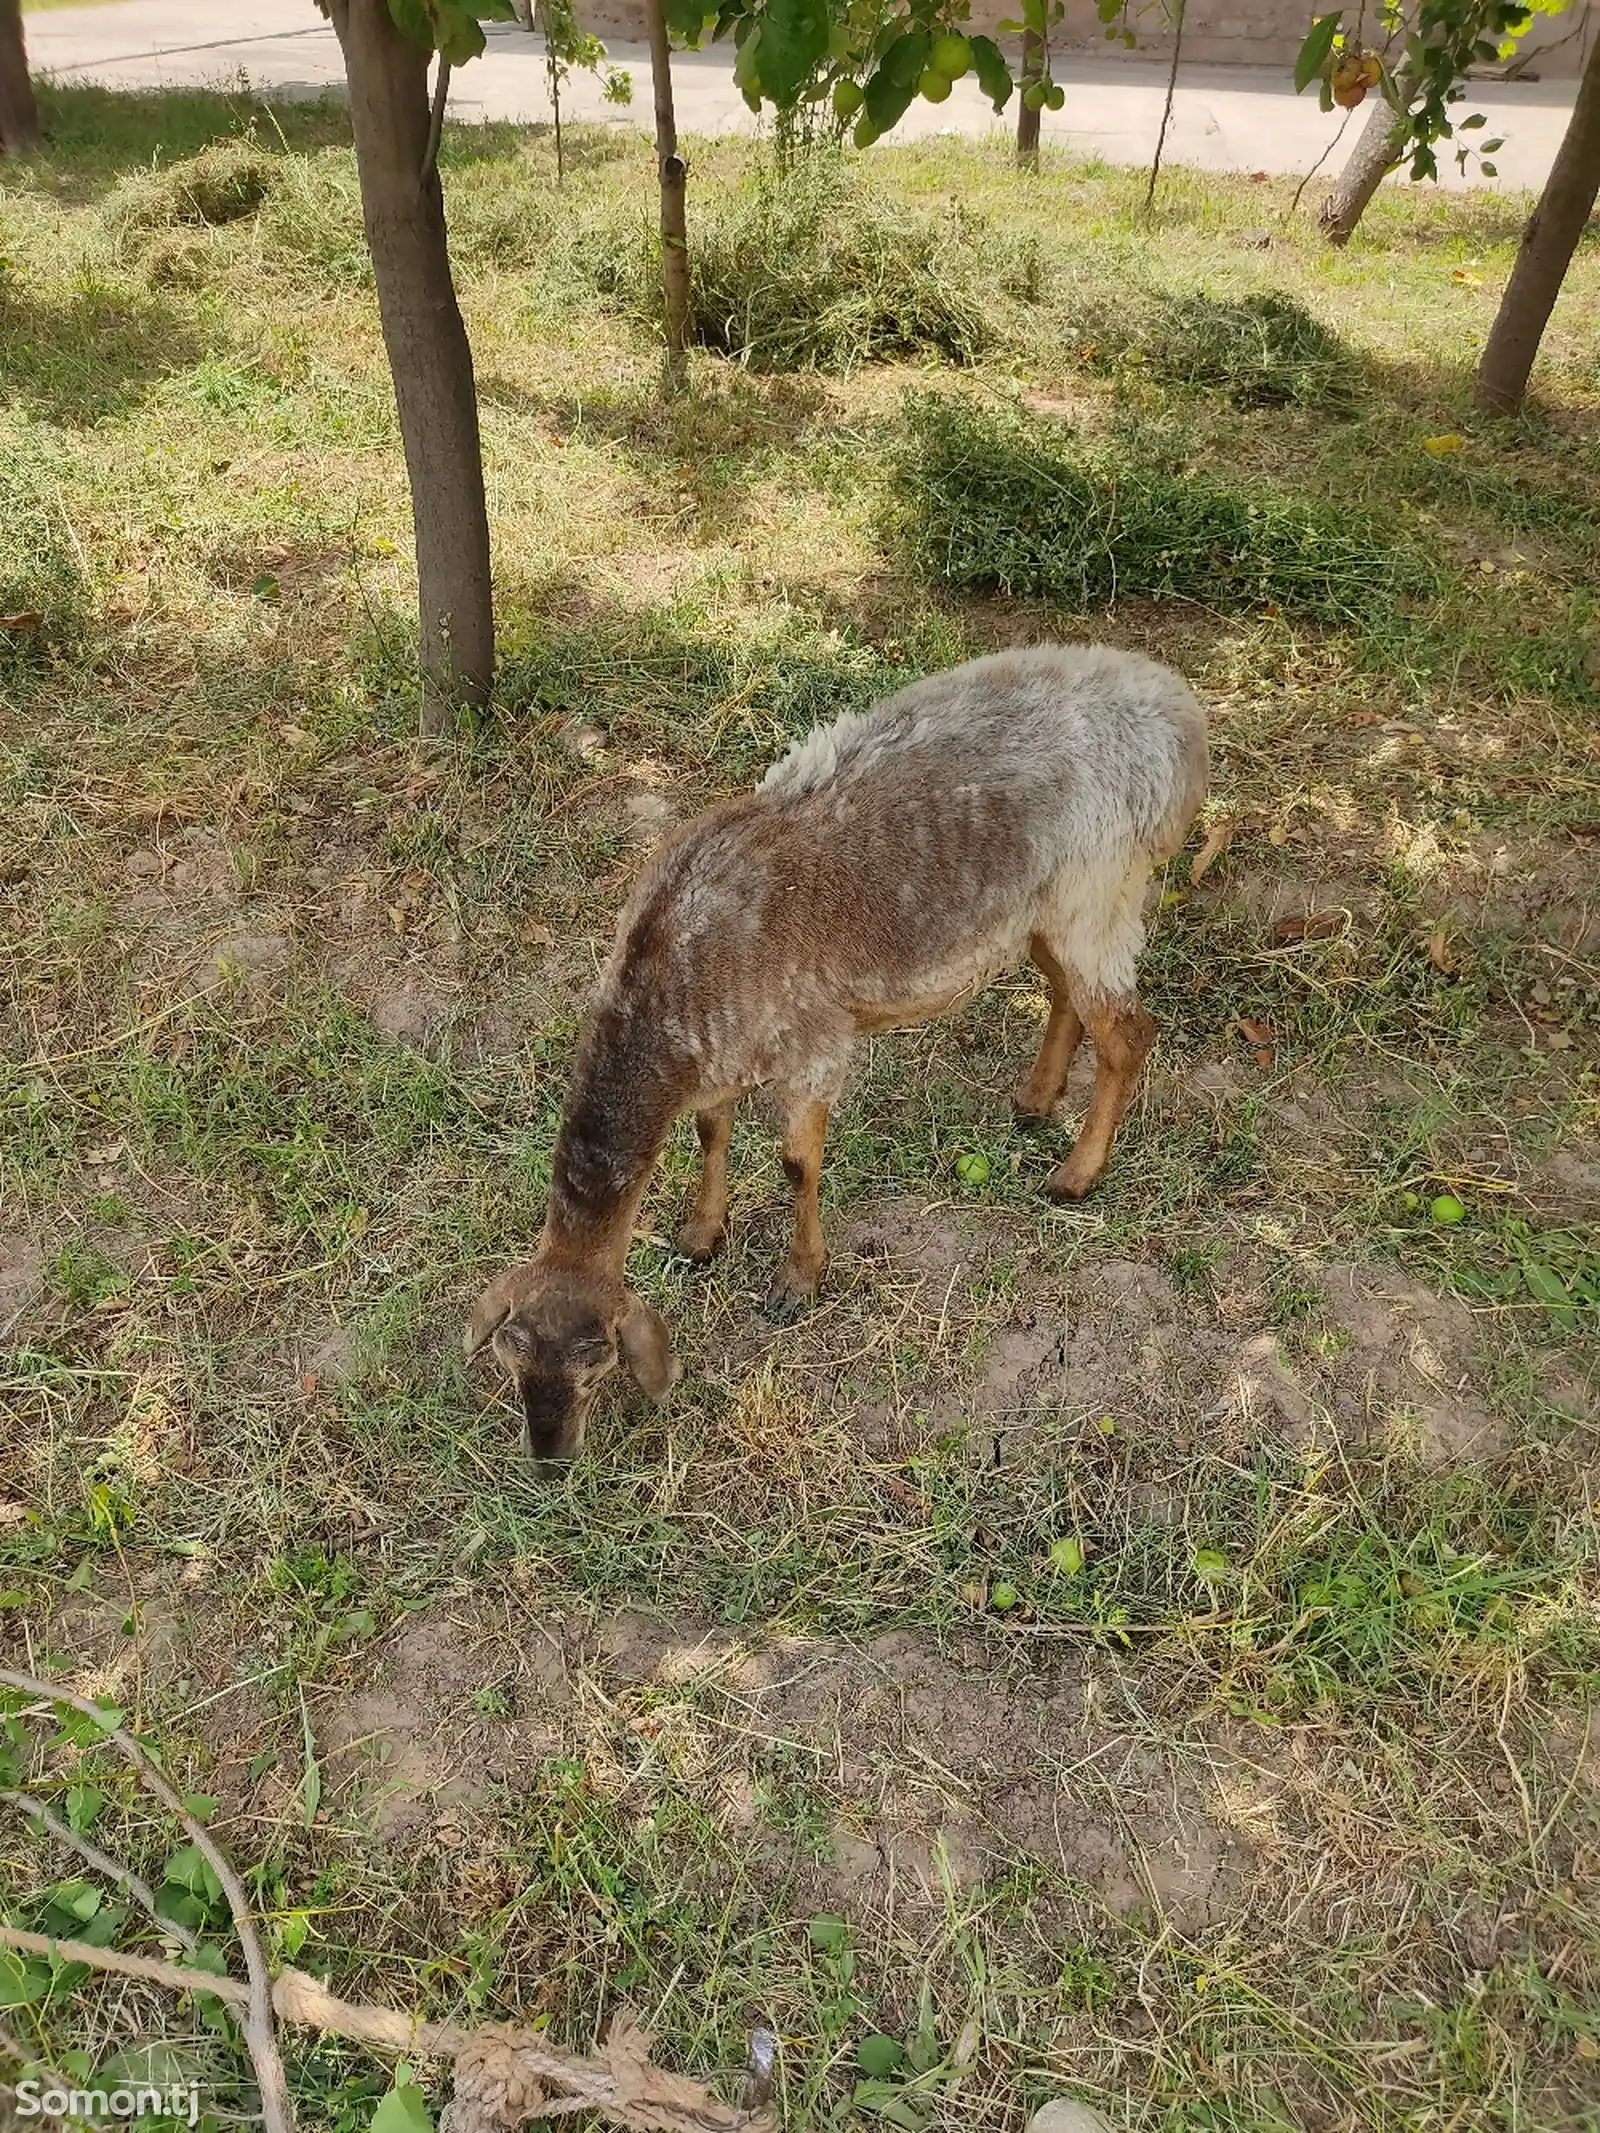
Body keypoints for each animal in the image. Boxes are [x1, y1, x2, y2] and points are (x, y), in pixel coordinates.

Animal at [469, 635, 1211, 1467]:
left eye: (597, 1364)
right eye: (509, 1358)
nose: (548, 1457)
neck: (674, 977)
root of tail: (1180, 720)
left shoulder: (815, 1042)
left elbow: (797, 1164)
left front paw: (797, 1280)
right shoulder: (725, 1053)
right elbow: (711, 1132)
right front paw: (700, 1234)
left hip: (1100, 888)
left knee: (1128, 1033)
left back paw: (1076, 1174)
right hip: (1042, 907)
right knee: (1065, 998)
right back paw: (1034, 1099)